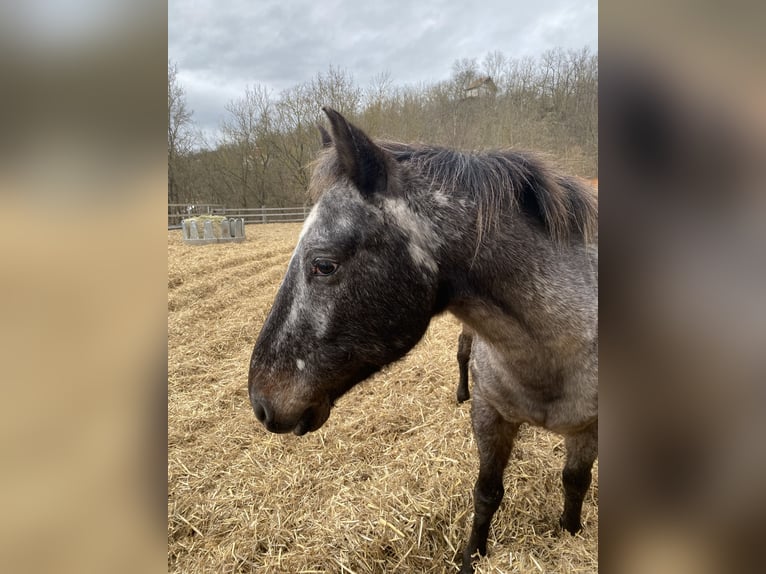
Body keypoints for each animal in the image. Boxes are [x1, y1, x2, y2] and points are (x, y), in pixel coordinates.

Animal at [248, 107, 600, 572]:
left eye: (324, 265)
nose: (260, 401)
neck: (549, 355)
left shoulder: (589, 430)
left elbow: (575, 482)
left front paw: (569, 532)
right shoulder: (490, 416)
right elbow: (487, 493)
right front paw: (473, 555)